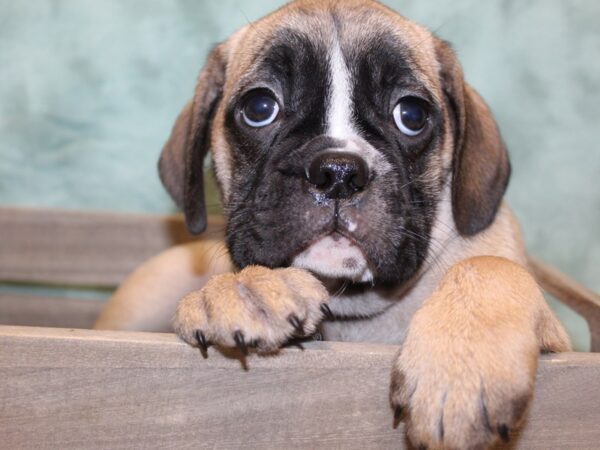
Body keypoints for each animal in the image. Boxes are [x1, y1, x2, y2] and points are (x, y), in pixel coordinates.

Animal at [95, 1, 572, 448]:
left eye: (412, 115)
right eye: (259, 107)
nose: (339, 171)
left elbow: (490, 267)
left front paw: (460, 367)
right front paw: (249, 289)